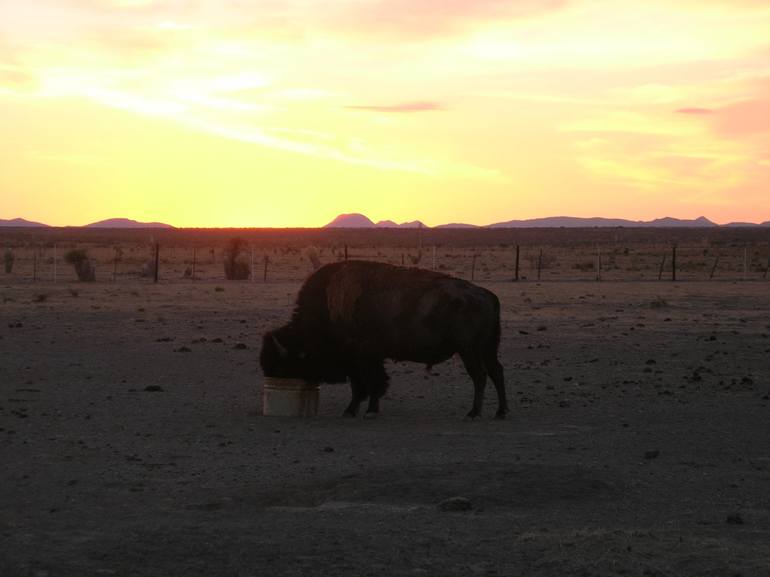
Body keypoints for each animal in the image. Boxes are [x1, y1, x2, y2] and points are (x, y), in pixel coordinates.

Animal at [260, 260, 508, 418]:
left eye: (285, 364)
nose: (273, 377)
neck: (328, 305)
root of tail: (488, 295)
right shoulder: (367, 358)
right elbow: (371, 384)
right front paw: (362, 409)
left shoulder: (362, 358)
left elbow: (368, 385)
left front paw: (361, 411)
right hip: (487, 348)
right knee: (496, 372)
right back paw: (500, 412)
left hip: (469, 350)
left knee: (480, 376)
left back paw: (474, 413)